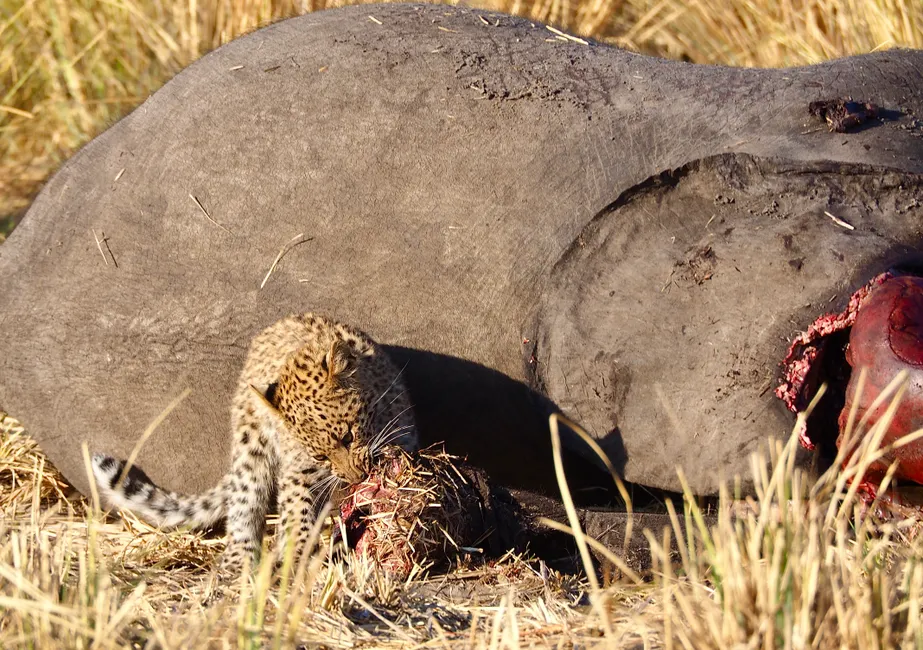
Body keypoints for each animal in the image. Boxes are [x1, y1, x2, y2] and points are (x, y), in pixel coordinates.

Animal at [91, 313, 418, 573]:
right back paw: (239, 561)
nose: (356, 477)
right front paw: (298, 553)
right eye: (320, 457)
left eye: (348, 437)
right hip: (250, 445)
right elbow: (296, 511)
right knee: (244, 500)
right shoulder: (298, 471)